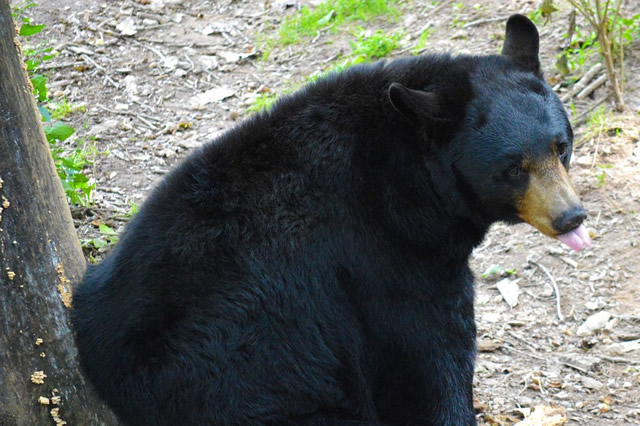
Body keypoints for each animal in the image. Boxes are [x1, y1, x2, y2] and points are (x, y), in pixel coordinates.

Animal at [70, 15, 592, 426]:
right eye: (512, 169)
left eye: (560, 147)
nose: (571, 217)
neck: (409, 179)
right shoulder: (383, 259)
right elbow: (427, 356)